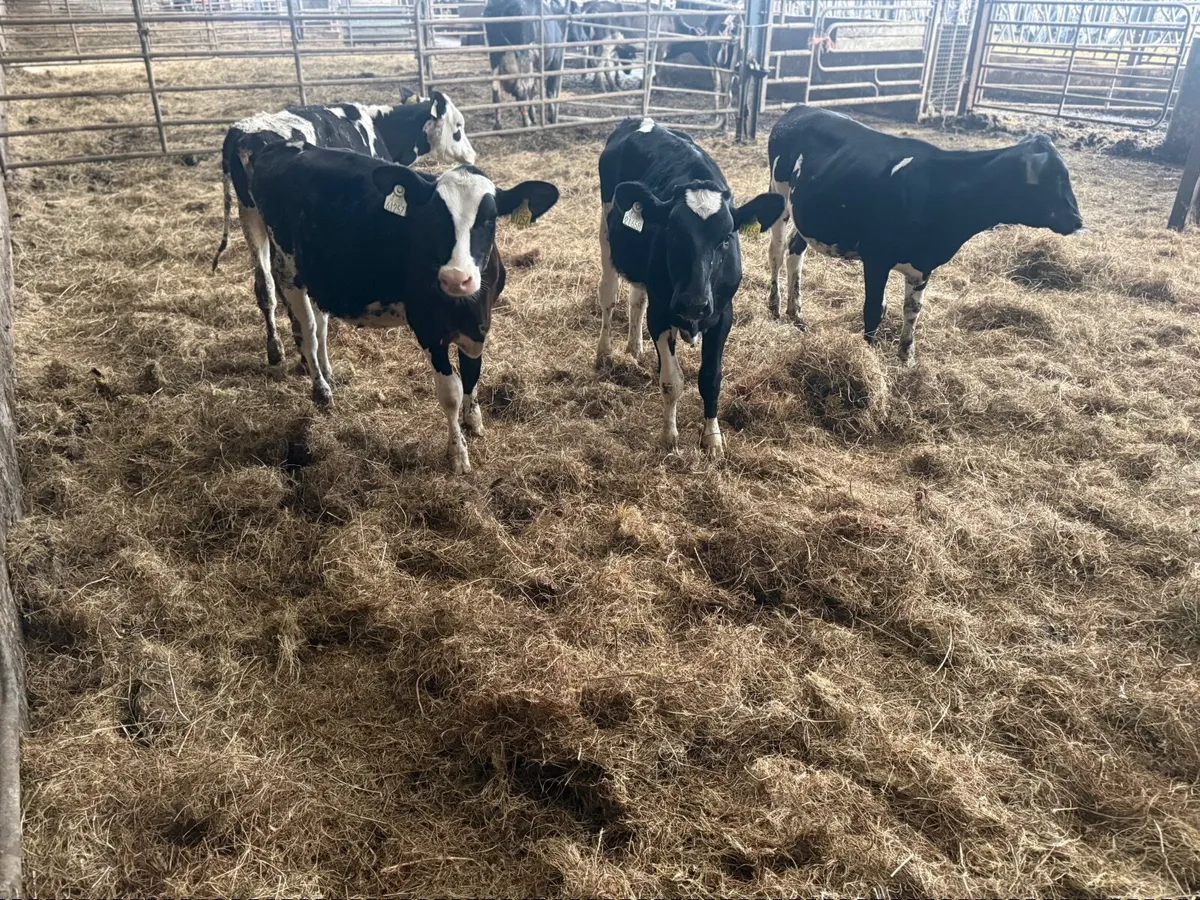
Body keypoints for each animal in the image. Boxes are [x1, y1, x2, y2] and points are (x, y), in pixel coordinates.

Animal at [212, 90, 476, 369]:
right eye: (458, 127)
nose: (472, 155)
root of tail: (243, 131)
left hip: (249, 215)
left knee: (265, 285)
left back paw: (276, 350)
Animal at [242, 142, 560, 474]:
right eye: (433, 216)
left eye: (490, 218)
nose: (455, 278)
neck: (464, 305)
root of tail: (282, 146)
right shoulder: (429, 328)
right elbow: (451, 392)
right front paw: (458, 453)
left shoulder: (478, 327)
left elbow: (472, 375)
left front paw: (474, 421)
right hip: (286, 269)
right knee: (307, 332)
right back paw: (321, 391)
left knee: (321, 327)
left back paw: (329, 374)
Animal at [597, 118, 784, 459]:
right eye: (672, 231)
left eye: (726, 238)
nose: (693, 304)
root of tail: (643, 120)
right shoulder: (661, 313)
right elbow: (672, 381)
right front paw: (669, 437)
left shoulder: (723, 314)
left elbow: (710, 379)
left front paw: (712, 439)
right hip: (606, 232)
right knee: (609, 294)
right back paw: (604, 351)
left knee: (636, 298)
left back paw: (634, 347)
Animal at [766, 106, 1084, 365]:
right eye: (1054, 179)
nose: (1077, 220)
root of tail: (802, 109)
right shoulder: (876, 258)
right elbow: (874, 309)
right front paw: (867, 356)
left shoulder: (923, 265)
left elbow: (912, 310)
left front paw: (906, 358)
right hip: (778, 197)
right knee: (777, 252)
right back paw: (774, 306)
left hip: (807, 216)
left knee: (795, 252)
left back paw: (797, 314)